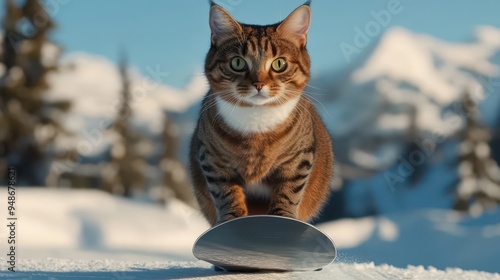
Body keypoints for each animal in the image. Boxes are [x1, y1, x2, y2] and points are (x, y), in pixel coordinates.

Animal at [189, 1, 334, 226]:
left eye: (279, 64)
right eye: (238, 63)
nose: (258, 84)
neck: (256, 121)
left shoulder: (298, 159)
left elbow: (289, 191)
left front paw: (282, 217)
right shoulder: (212, 159)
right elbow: (226, 192)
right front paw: (232, 219)